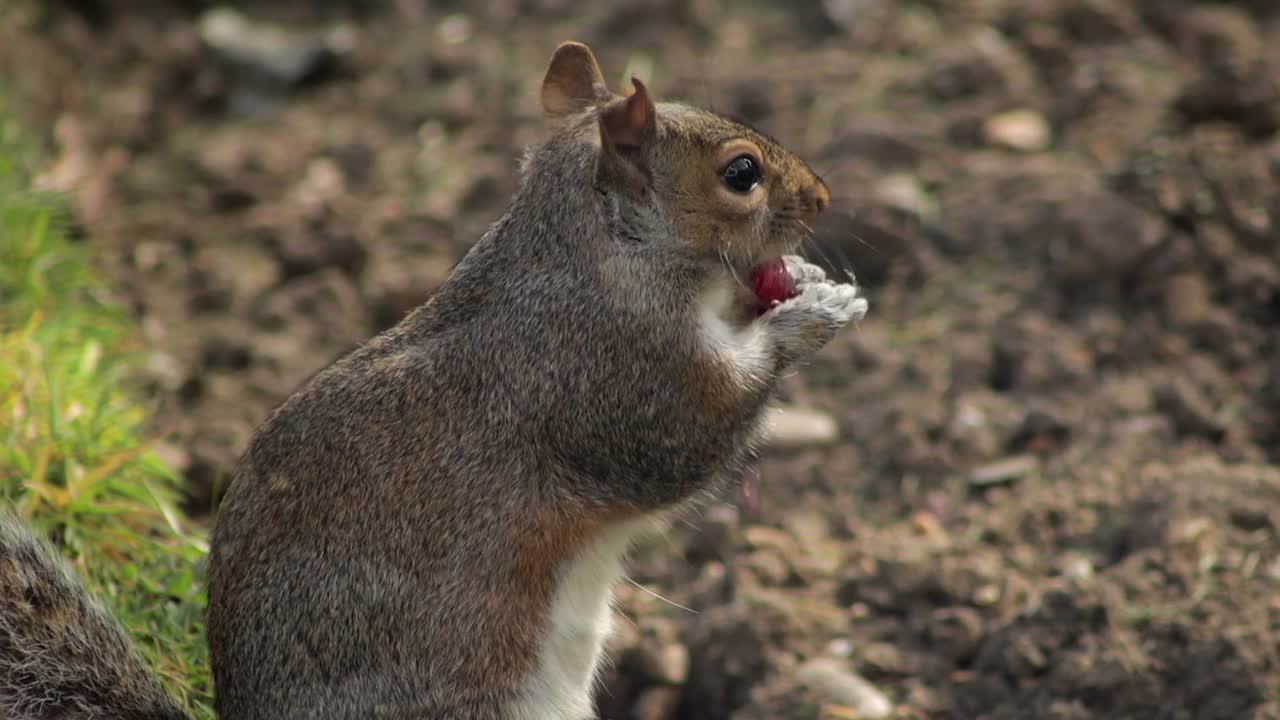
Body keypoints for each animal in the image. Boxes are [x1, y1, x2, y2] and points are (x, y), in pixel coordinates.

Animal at [0, 41, 866, 720]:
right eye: (742, 174)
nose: (825, 196)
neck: (595, 258)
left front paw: (808, 286)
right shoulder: (610, 379)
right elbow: (689, 441)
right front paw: (811, 316)